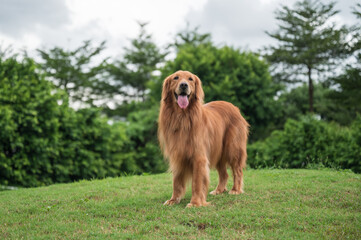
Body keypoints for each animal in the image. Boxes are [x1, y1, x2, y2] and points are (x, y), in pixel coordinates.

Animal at [158, 70, 248, 207]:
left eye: (190, 79)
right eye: (176, 78)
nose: (183, 85)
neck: (182, 117)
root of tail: (234, 107)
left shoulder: (199, 156)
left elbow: (197, 182)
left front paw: (195, 202)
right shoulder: (177, 155)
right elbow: (176, 181)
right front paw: (174, 199)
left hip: (233, 148)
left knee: (237, 170)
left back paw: (235, 190)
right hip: (218, 151)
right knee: (224, 174)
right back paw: (218, 190)